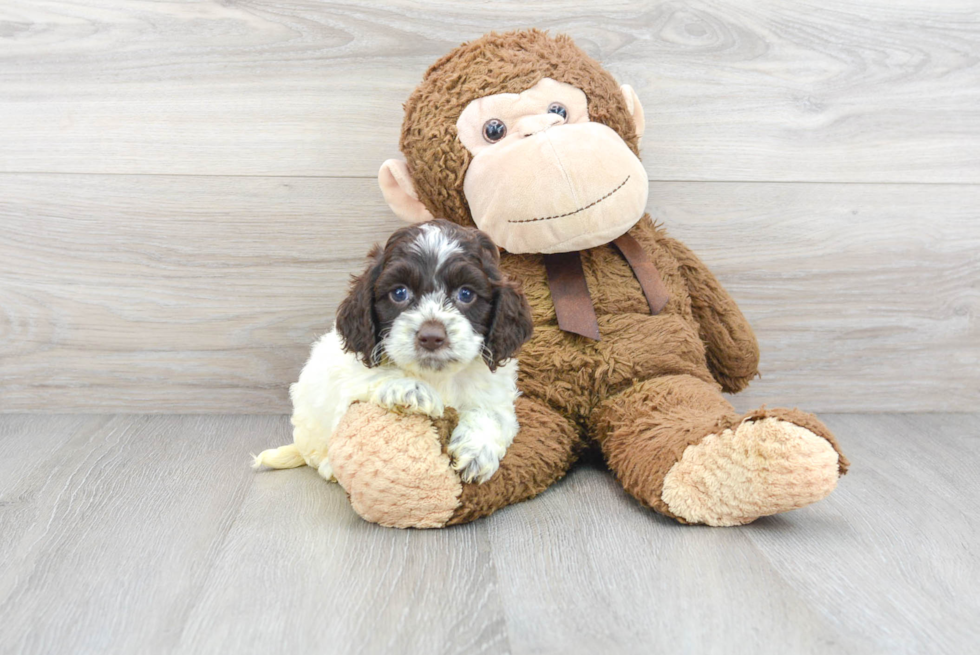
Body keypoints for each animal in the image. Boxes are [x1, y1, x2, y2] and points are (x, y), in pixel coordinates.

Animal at [249, 223, 532, 484]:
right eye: (399, 292)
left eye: (466, 293)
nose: (431, 337)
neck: (437, 376)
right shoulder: (351, 377)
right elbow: (372, 377)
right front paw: (411, 389)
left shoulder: (496, 394)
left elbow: (492, 414)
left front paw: (476, 452)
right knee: (317, 454)